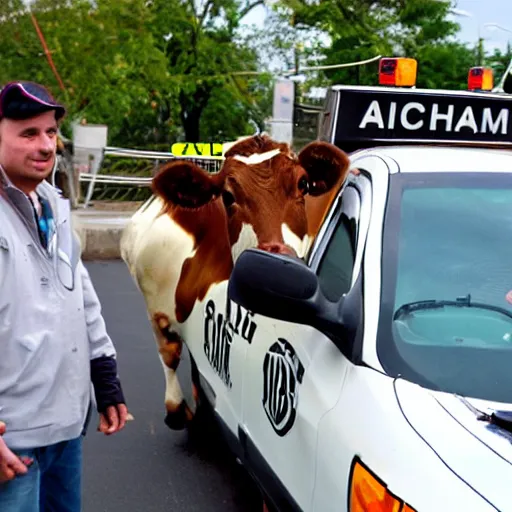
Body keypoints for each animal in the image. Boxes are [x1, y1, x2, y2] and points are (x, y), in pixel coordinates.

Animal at [122, 135, 350, 428]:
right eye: (227, 196)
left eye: (303, 184)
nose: (277, 261)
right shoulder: (157, 309)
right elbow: (170, 353)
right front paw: (178, 409)